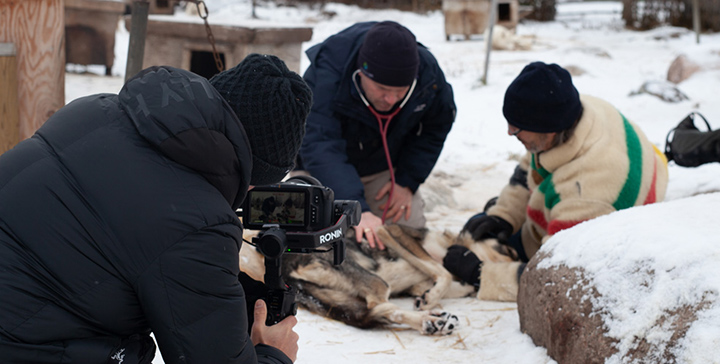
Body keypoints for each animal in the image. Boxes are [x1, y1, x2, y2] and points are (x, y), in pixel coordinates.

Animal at [239, 225, 516, 336]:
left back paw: (431, 321)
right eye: (510, 250)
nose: (518, 262)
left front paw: (430, 298)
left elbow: (453, 282)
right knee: (380, 301)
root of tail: (289, 270)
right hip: (372, 279)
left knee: (382, 308)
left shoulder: (419, 282)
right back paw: (430, 319)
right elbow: (443, 272)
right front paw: (433, 297)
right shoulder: (392, 232)